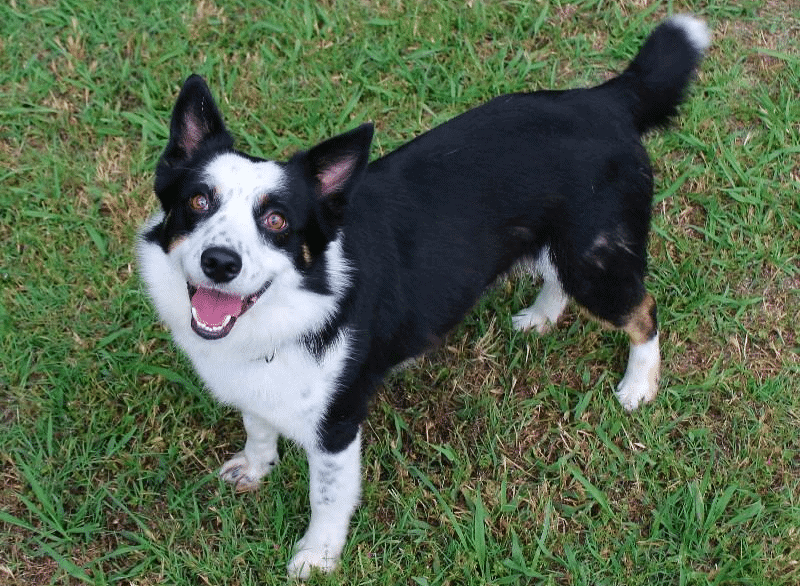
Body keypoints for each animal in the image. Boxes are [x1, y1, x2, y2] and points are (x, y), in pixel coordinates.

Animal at [139, 16, 712, 576]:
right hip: (568, 251)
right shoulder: (257, 387)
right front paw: (256, 469)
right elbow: (257, 427)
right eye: (198, 201)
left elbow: (328, 497)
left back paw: (638, 386)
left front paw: (317, 557)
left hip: (594, 262)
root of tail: (606, 99)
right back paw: (541, 317)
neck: (296, 300)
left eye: (276, 221)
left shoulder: (337, 425)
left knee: (644, 311)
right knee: (562, 283)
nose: (220, 262)